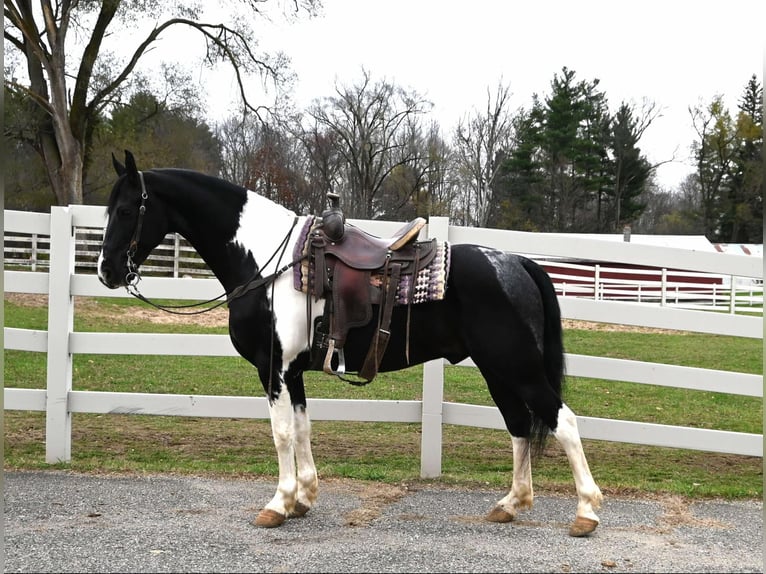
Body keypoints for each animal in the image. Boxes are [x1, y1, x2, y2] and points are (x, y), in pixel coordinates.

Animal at [96, 152, 604, 540]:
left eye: (126, 210)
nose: (106, 271)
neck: (267, 263)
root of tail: (517, 261)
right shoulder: (293, 371)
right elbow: (302, 429)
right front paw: (303, 497)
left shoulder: (272, 368)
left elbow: (281, 432)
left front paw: (277, 504)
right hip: (496, 369)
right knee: (519, 424)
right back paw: (511, 503)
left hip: (517, 366)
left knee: (563, 421)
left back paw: (586, 512)